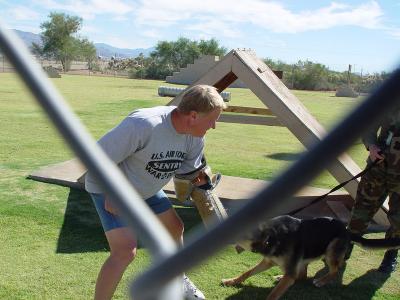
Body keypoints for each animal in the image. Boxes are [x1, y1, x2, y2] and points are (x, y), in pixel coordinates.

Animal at [222, 216, 400, 300]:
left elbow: (273, 294)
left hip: (330, 249)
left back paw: (321, 281)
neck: (274, 236)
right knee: (301, 276)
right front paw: (231, 281)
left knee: (335, 270)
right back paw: (280, 276)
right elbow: (247, 272)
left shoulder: (286, 271)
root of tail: (347, 230)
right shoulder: (268, 261)